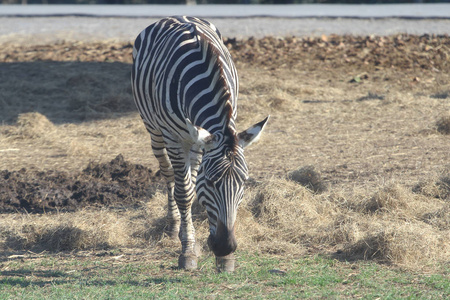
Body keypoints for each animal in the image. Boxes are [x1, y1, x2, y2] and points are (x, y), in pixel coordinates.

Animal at [132, 16, 268, 272]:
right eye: (213, 183)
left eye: (243, 183)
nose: (225, 247)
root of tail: (175, 16)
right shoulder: (175, 139)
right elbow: (184, 193)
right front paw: (187, 250)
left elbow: (194, 186)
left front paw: (222, 258)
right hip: (155, 130)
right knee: (168, 173)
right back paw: (174, 226)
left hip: (194, 143)